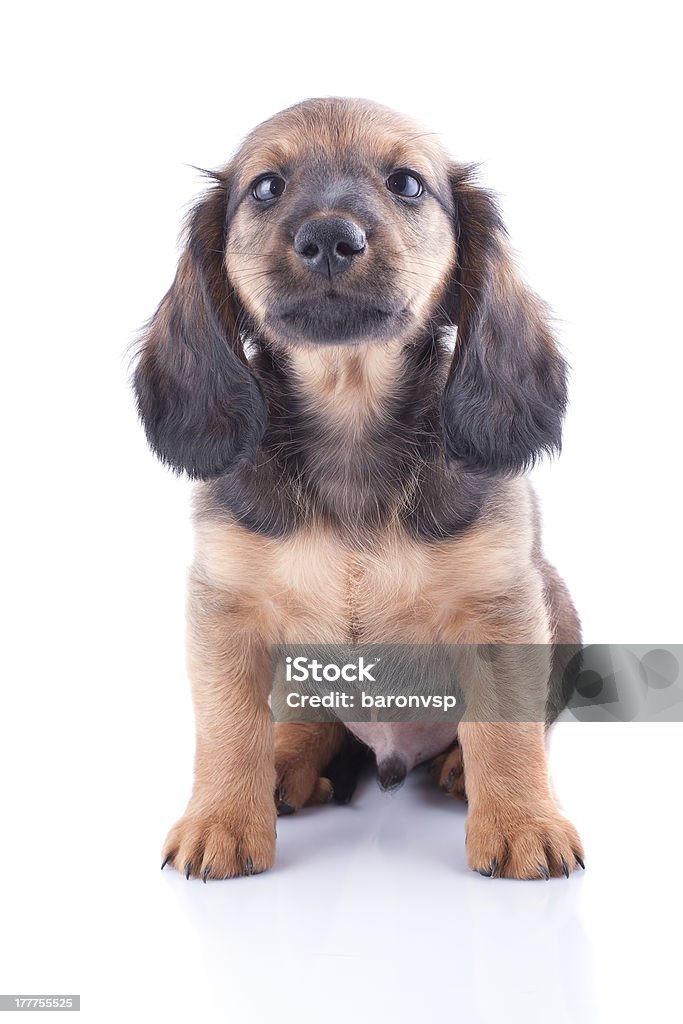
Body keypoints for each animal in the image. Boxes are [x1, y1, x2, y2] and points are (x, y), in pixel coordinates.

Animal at [136, 96, 585, 880]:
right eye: (266, 187)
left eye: (406, 183)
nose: (328, 238)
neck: (350, 424)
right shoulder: (225, 611)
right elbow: (227, 727)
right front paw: (221, 819)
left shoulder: (501, 610)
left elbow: (506, 728)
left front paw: (521, 823)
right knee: (310, 722)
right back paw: (289, 765)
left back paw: (457, 770)